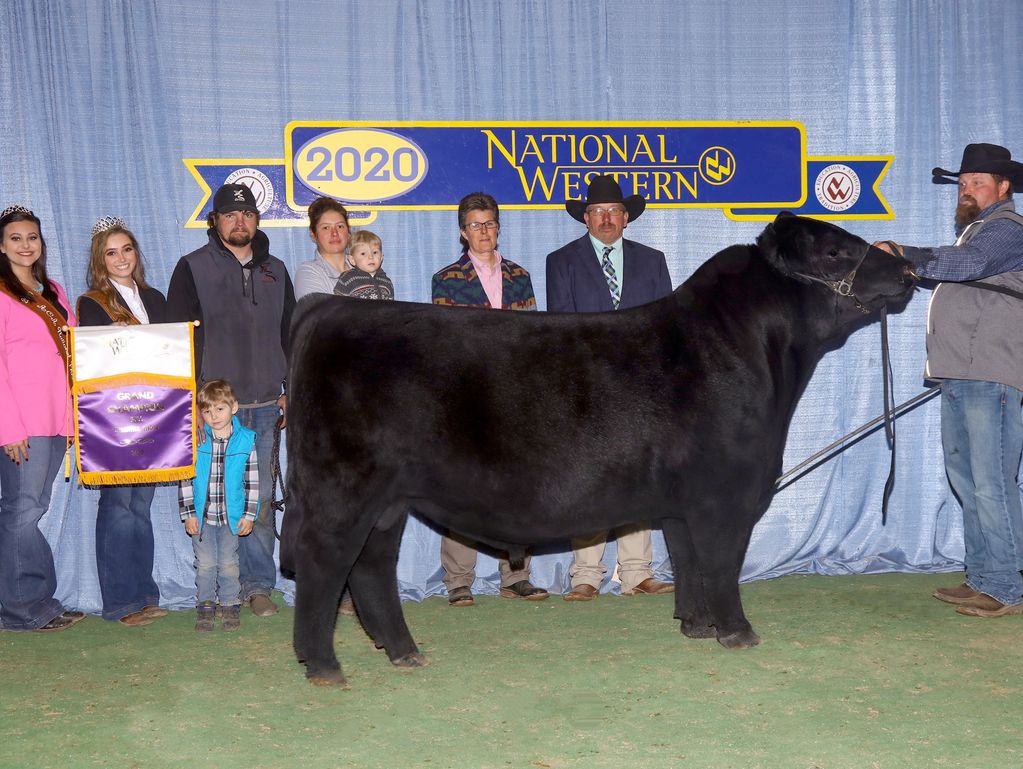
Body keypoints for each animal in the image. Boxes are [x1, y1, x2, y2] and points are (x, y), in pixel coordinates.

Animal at [280, 212, 917, 686]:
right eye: (834, 252)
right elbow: (721, 563)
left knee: (371, 567)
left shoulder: (682, 503)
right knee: (324, 561)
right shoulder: (726, 495)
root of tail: (331, 308)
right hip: (343, 487)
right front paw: (738, 631)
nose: (908, 264)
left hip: (387, 500)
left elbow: (687, 559)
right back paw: (324, 664)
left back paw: (403, 651)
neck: (752, 354)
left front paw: (696, 627)